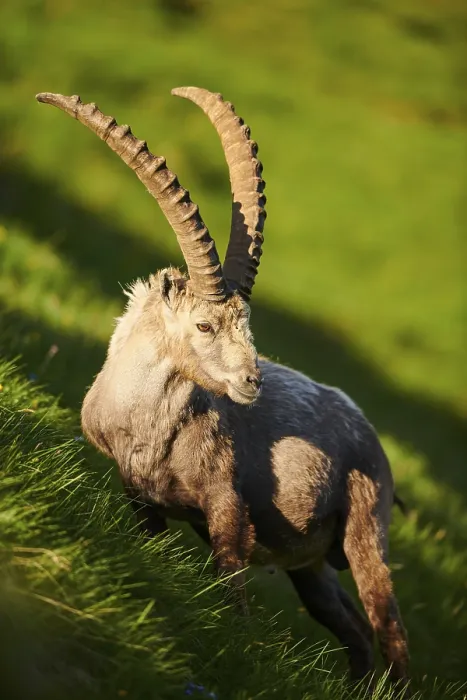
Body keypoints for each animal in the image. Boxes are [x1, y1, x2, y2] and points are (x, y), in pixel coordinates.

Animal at [36, 87, 409, 683]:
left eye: (247, 324)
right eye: (205, 325)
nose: (253, 381)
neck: (147, 428)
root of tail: (370, 434)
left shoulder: (225, 505)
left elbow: (231, 588)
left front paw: (242, 649)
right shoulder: (139, 497)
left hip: (365, 529)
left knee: (388, 627)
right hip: (311, 569)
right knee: (353, 628)